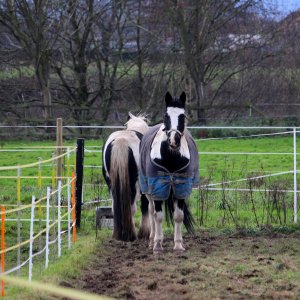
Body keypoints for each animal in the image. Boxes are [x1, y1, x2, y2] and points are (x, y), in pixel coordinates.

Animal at [103, 112, 150, 241]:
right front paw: (145, 233)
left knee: (115, 207)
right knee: (132, 207)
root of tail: (122, 141)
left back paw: (118, 234)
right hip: (135, 184)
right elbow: (145, 206)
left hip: (111, 183)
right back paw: (131, 234)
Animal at [139, 91, 199, 251]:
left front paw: (178, 245)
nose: (173, 141)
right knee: (151, 210)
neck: (170, 157)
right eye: (166, 116)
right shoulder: (158, 186)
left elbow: (178, 216)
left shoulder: (180, 187)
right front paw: (157, 245)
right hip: (148, 189)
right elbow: (158, 216)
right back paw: (152, 240)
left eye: (182, 116)